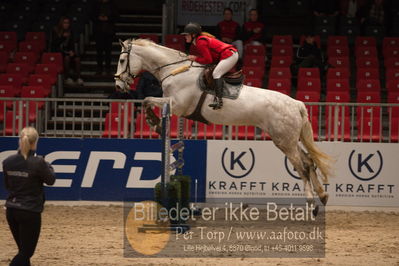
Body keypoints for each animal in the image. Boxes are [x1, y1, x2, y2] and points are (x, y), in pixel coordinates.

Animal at [114, 39, 332, 206]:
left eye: (122, 60)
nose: (117, 85)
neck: (176, 70)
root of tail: (296, 103)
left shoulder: (176, 105)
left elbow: (147, 100)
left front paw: (155, 122)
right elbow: (147, 100)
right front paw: (156, 123)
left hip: (284, 141)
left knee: (302, 167)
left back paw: (311, 202)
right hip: (289, 140)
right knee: (309, 161)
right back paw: (322, 195)